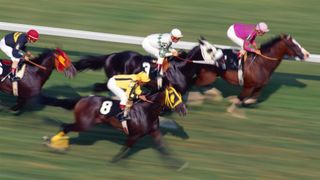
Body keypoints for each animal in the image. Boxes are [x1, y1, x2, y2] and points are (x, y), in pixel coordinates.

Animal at [43, 84, 186, 162]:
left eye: (180, 94)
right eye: (173, 95)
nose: (184, 110)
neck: (147, 110)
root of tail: (82, 98)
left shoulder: (154, 132)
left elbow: (164, 148)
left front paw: (179, 164)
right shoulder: (134, 135)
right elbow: (125, 148)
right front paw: (115, 161)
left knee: (65, 126)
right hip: (84, 124)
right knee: (65, 126)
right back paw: (54, 144)